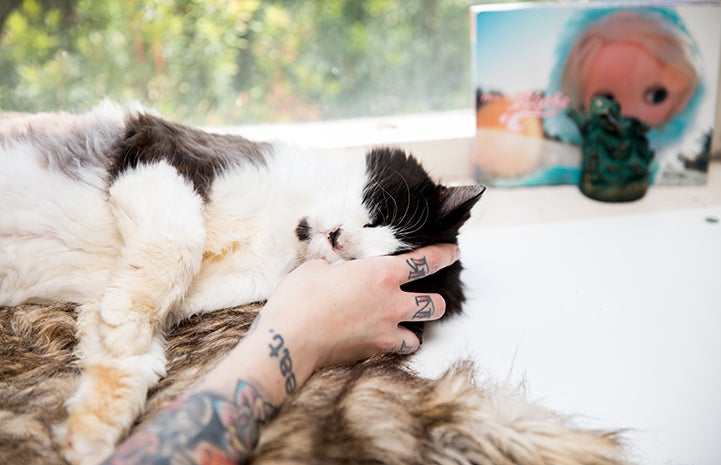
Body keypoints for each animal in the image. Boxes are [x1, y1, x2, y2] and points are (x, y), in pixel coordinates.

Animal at [1, 101, 484, 464]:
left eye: (358, 264)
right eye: (377, 213)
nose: (337, 238)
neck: (279, 230)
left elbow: (132, 347)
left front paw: (94, 426)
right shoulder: (157, 147)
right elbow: (181, 242)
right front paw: (122, 328)